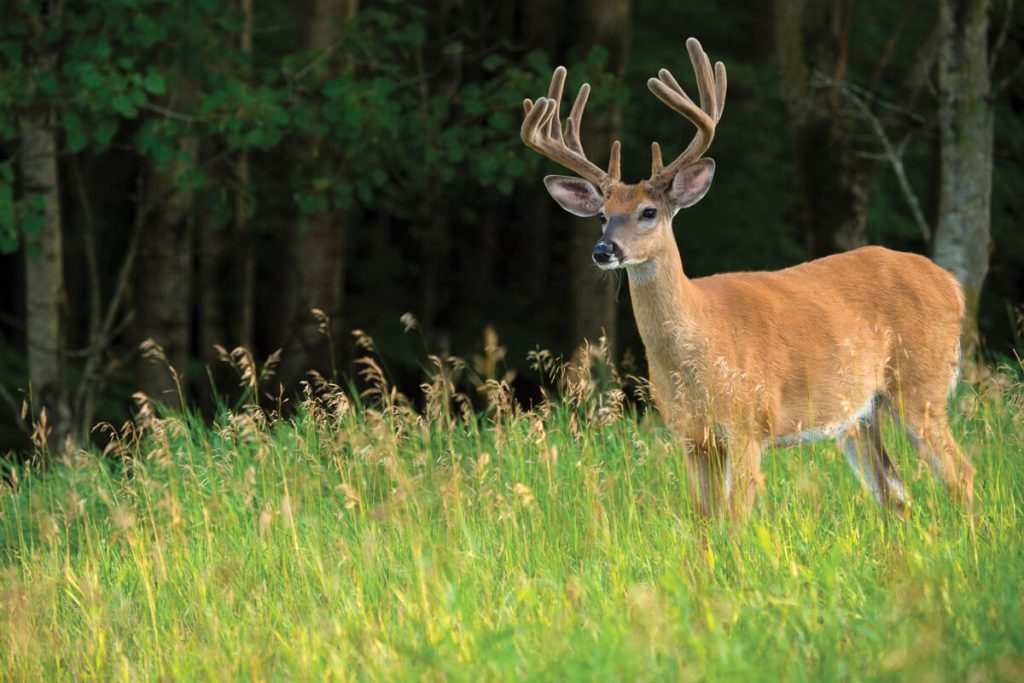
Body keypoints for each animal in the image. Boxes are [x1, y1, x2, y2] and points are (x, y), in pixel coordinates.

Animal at [520, 37, 975, 520]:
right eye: (603, 216)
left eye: (649, 212)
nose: (604, 250)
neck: (697, 347)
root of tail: (952, 284)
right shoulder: (691, 437)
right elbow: (704, 520)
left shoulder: (748, 421)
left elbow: (736, 518)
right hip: (859, 415)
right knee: (895, 493)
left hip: (921, 384)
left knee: (959, 473)